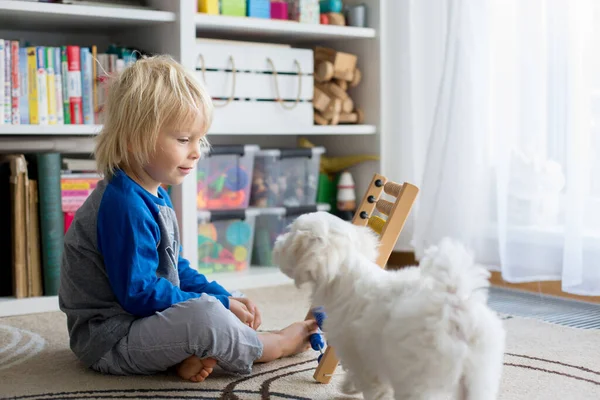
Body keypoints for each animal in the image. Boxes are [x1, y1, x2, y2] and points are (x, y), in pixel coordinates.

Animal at [274, 211, 506, 398]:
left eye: (291, 236)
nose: (276, 243)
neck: (347, 273)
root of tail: (455, 305)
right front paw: (349, 387)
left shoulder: (358, 354)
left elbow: (371, 385)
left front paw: (350, 388)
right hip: (479, 375)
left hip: (420, 377)